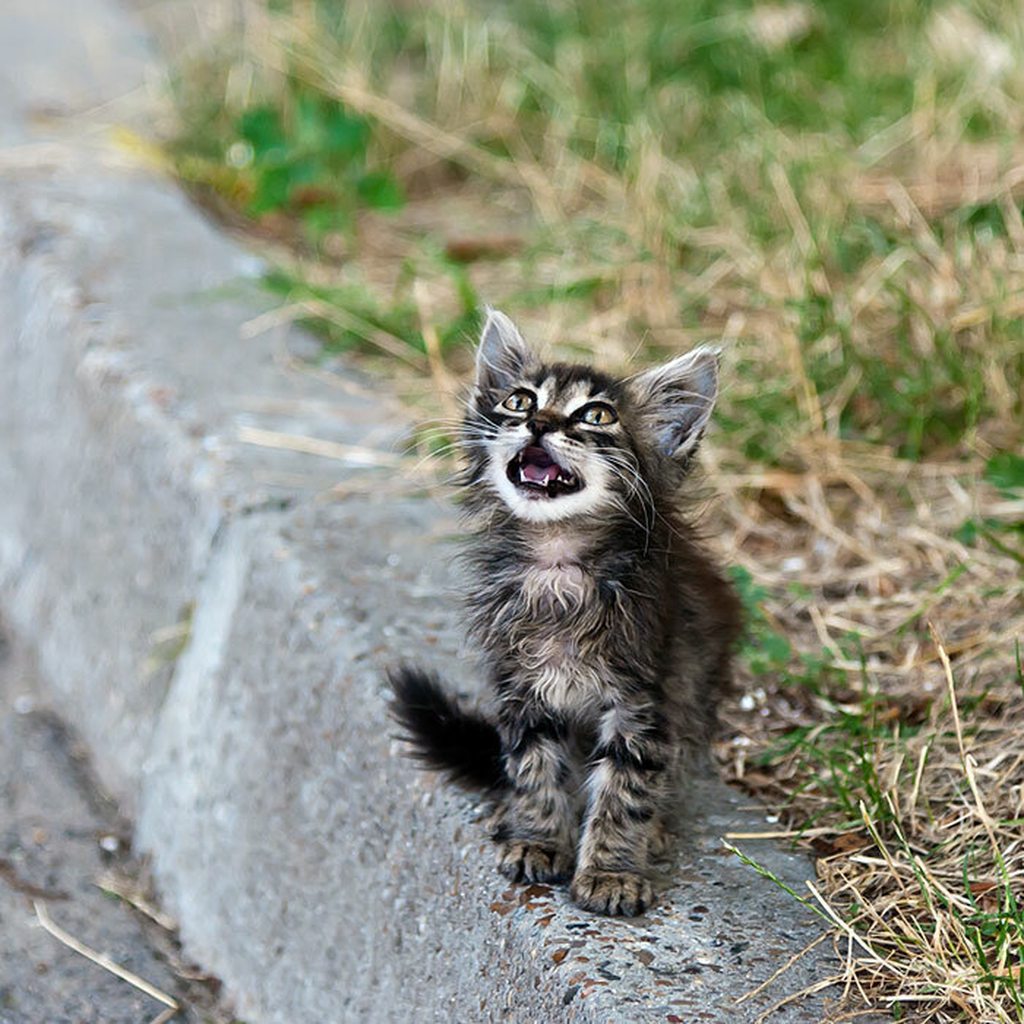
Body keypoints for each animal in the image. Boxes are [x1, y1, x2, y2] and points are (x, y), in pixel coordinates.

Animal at [387, 307, 741, 917]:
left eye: (596, 415)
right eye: (519, 401)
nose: (538, 424)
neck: (558, 565)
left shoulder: (645, 697)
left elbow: (626, 788)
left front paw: (611, 872)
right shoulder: (522, 687)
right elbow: (534, 768)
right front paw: (538, 839)